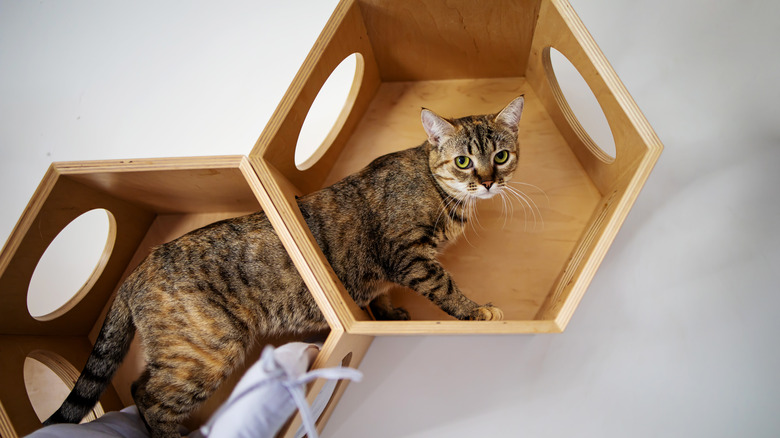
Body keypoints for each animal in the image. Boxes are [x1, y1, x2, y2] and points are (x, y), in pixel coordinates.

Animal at [45, 95, 528, 434]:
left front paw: (388, 312)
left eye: (500, 156)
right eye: (463, 161)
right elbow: (445, 286)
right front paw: (477, 311)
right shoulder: (406, 254)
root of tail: (136, 272)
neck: (438, 189)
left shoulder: (390, 270)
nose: (488, 181)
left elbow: (382, 294)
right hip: (205, 351)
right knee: (147, 396)